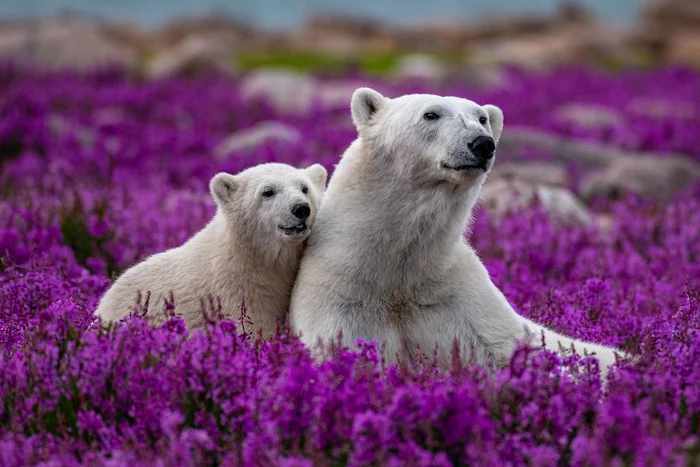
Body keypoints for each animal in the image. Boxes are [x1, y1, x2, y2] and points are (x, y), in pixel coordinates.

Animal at [290, 88, 624, 372]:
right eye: (431, 114)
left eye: (482, 117)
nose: (482, 143)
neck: (397, 269)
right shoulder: (342, 301)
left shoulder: (461, 302)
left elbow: (517, 349)